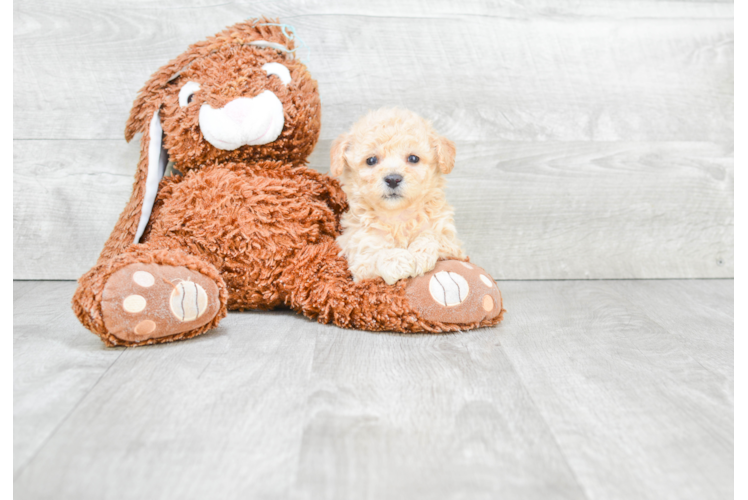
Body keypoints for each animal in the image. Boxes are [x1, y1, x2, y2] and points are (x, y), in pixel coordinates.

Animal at [330, 109, 464, 286]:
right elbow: (375, 254)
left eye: (413, 158)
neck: (398, 216)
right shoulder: (359, 255)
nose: (393, 179)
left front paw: (419, 255)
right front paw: (397, 262)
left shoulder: (453, 245)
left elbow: (433, 235)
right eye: (371, 160)